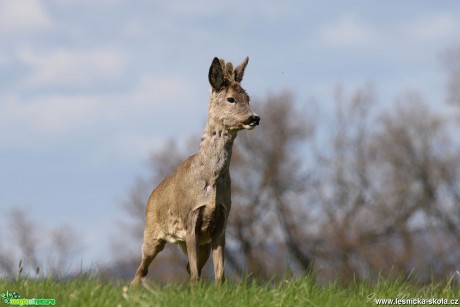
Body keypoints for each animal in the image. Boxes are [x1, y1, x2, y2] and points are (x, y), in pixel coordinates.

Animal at [131, 56, 260, 286]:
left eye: (248, 97)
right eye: (231, 99)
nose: (254, 118)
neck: (210, 179)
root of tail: (152, 194)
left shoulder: (221, 221)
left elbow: (219, 272)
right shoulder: (189, 218)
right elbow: (195, 274)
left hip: (198, 244)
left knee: (187, 266)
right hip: (152, 232)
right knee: (142, 268)